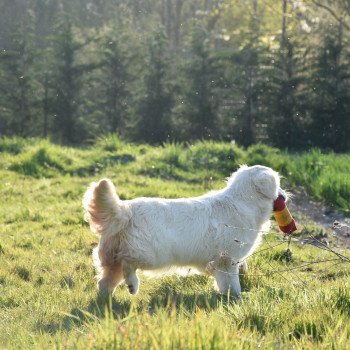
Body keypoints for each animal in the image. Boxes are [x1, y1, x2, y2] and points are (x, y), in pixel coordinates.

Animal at [83, 165, 286, 296]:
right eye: (278, 184)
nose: (285, 196)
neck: (243, 200)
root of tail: (126, 210)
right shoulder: (228, 259)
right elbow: (232, 282)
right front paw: (237, 298)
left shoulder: (221, 262)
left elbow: (227, 279)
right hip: (151, 254)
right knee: (127, 263)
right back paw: (133, 284)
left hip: (112, 259)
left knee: (104, 281)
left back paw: (106, 302)